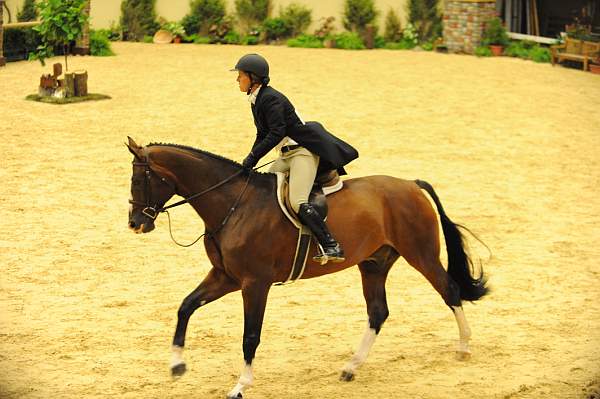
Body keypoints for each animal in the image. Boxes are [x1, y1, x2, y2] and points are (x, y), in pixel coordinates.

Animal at [125, 136, 488, 398]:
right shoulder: (226, 276)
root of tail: (411, 184)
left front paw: (240, 386)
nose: (135, 224)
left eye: (140, 179)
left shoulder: (254, 283)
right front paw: (177, 364)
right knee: (378, 312)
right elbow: (186, 306)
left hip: (420, 254)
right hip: (374, 264)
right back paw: (351, 367)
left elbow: (250, 336)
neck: (234, 205)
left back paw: (464, 348)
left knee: (449, 290)